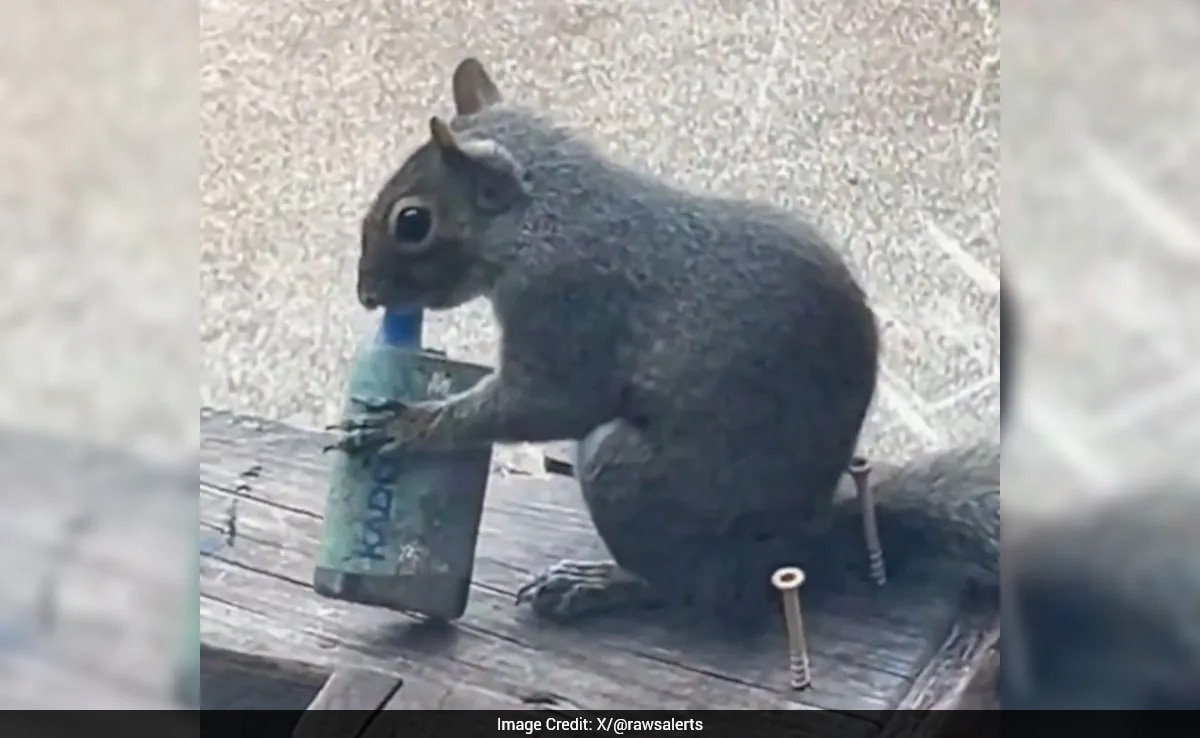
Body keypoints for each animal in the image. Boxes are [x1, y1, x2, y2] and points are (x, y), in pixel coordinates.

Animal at [329, 58, 999, 627]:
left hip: (626, 472)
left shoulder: (568, 308)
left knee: (689, 591)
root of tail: (803, 546)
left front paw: (406, 426)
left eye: (413, 221)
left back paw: (600, 583)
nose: (366, 294)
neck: (544, 218)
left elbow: (544, 404)